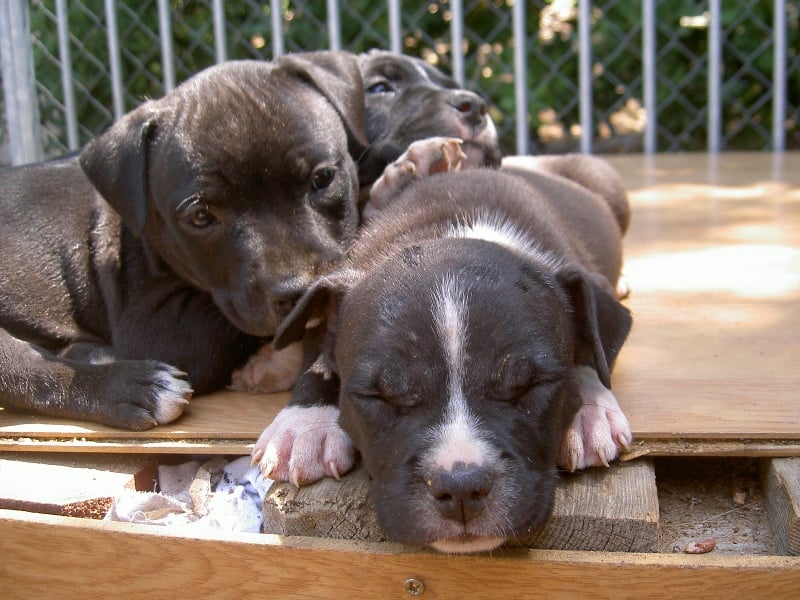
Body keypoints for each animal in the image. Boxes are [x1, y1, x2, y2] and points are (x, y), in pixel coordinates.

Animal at [0, 50, 366, 426]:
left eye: (323, 178)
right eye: (200, 217)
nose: (297, 292)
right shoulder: (154, 327)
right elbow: (219, 337)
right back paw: (132, 385)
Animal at [255, 141, 632, 552]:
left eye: (531, 386)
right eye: (378, 396)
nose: (461, 488)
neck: (452, 230)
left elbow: (593, 343)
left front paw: (591, 412)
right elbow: (319, 355)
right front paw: (302, 425)